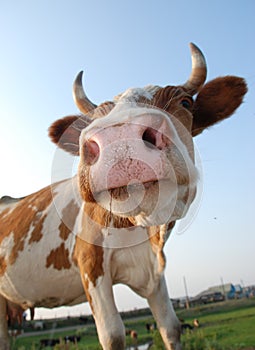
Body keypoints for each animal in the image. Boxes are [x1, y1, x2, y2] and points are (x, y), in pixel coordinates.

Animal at [0, 44, 247, 350]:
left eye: (186, 103)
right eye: (94, 120)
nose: (120, 139)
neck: (143, 233)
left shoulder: (155, 272)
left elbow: (171, 327)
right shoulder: (91, 265)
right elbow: (113, 335)